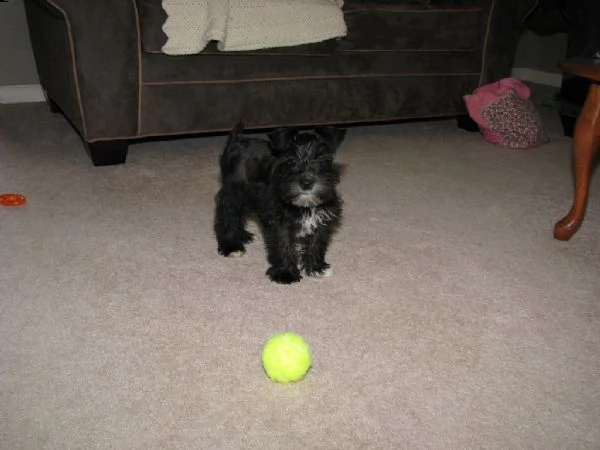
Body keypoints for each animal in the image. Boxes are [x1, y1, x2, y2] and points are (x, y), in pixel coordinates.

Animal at [216, 122, 346, 284]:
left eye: (322, 159)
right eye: (291, 161)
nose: (306, 182)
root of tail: (235, 141)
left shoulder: (321, 217)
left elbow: (316, 242)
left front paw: (315, 267)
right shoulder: (279, 221)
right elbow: (283, 244)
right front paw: (285, 273)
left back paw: (243, 235)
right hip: (233, 194)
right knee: (227, 217)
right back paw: (232, 246)